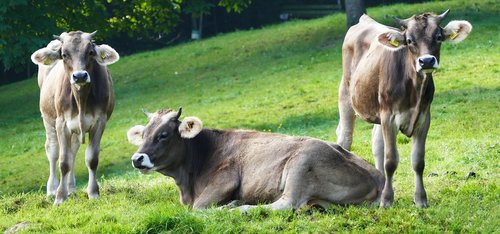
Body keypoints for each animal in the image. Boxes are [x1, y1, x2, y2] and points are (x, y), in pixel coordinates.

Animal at [30, 30, 119, 205]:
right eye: (64, 55)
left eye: (90, 52)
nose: (79, 76)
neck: (81, 98)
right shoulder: (62, 124)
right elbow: (63, 162)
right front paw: (59, 197)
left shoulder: (100, 122)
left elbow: (91, 159)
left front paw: (93, 193)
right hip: (48, 119)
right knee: (53, 151)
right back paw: (52, 189)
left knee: (73, 151)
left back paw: (71, 188)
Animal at [127, 109, 384, 211]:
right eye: (144, 133)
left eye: (163, 134)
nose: (137, 158)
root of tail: (377, 178)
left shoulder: (225, 180)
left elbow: (198, 209)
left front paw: (229, 204)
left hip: (301, 163)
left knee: (285, 204)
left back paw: (237, 207)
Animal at [336, 9, 472, 208]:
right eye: (409, 40)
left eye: (438, 37)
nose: (427, 61)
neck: (414, 90)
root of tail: (364, 20)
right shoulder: (389, 117)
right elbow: (391, 160)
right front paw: (387, 201)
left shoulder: (423, 118)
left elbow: (418, 161)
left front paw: (420, 199)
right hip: (346, 94)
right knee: (345, 138)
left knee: (377, 144)